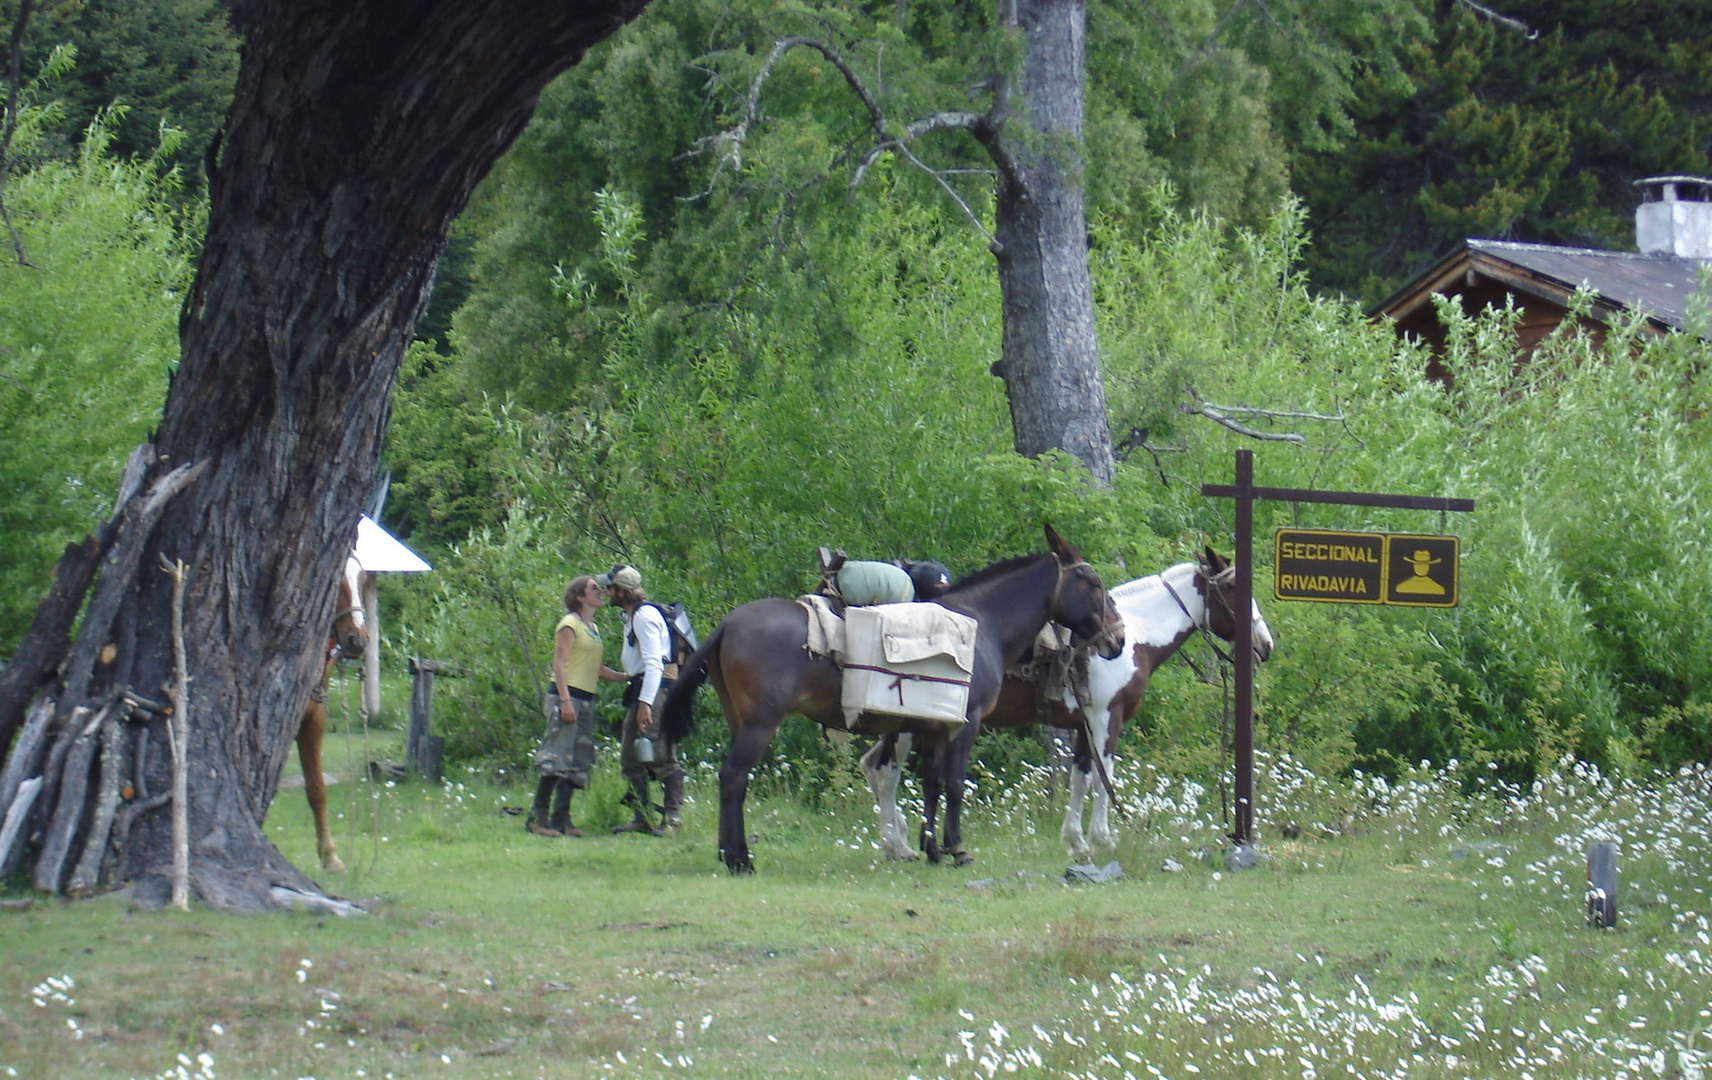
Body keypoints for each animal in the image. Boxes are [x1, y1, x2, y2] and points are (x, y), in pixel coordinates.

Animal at [657, 527, 1123, 876]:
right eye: (1094, 583)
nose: (1117, 639)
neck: (981, 624)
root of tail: (728, 624)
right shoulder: (965, 723)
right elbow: (954, 785)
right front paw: (957, 849)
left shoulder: (932, 726)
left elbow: (932, 785)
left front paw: (931, 848)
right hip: (759, 725)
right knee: (734, 777)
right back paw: (740, 859)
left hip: (740, 721)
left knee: (731, 780)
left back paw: (728, 853)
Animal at [869, 547, 1273, 862]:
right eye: (1235, 588)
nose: (1265, 644)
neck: (1135, 639)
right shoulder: (1107, 718)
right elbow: (1103, 776)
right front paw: (1103, 838)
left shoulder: (1084, 724)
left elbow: (1081, 778)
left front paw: (1077, 841)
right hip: (912, 723)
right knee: (887, 774)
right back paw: (898, 846)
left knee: (877, 770)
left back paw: (899, 843)